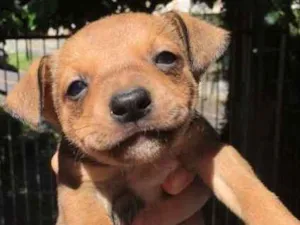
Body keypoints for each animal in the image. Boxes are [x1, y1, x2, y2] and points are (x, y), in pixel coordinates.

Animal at [3, 11, 298, 225]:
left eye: (166, 58)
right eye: (75, 88)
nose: (130, 103)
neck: (142, 165)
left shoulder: (211, 150)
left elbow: (251, 191)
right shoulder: (80, 189)